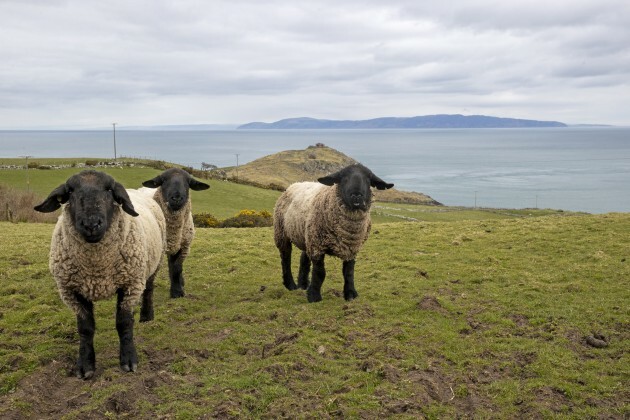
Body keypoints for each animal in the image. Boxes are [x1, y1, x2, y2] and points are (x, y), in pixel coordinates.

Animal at [34, 169, 165, 378]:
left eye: (109, 190)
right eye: (70, 191)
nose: (91, 224)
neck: (97, 267)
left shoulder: (130, 284)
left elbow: (124, 323)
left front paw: (129, 360)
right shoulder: (72, 291)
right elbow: (85, 328)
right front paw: (85, 366)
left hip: (154, 262)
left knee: (149, 289)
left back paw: (146, 315)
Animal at [141, 167, 210, 298]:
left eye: (188, 182)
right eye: (163, 180)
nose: (177, 198)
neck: (173, 230)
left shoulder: (183, 245)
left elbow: (177, 268)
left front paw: (177, 291)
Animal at [272, 162, 392, 304]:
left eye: (368, 180)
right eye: (343, 178)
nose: (356, 196)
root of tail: (295, 184)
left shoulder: (352, 248)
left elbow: (348, 272)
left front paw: (350, 294)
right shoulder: (318, 246)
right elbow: (320, 272)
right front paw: (314, 296)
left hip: (307, 235)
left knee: (304, 258)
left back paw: (303, 284)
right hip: (282, 232)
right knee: (285, 259)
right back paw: (290, 285)